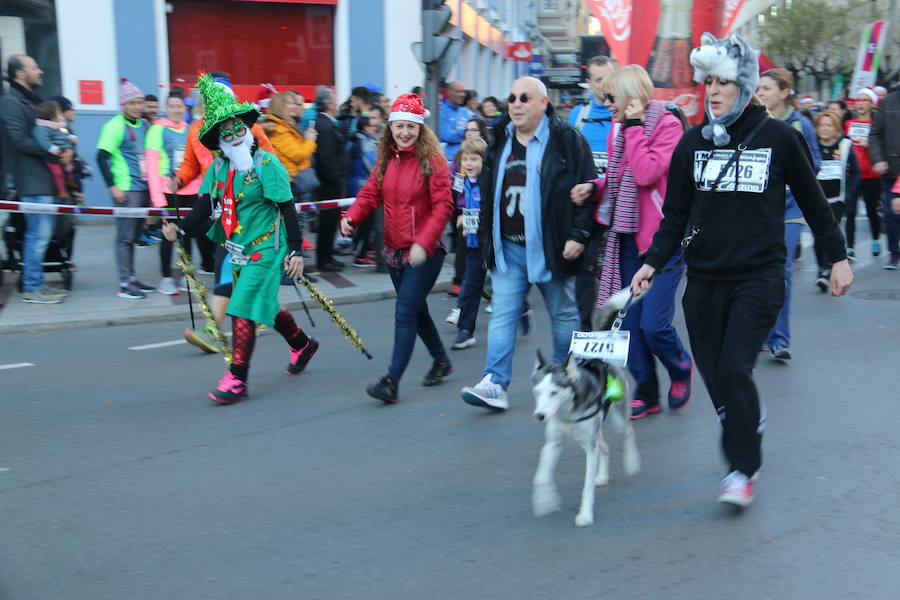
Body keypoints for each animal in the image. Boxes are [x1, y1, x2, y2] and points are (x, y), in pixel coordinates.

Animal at [532, 288, 644, 528]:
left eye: (554, 393)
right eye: (537, 392)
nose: (540, 416)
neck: (567, 413)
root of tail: (600, 357)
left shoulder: (589, 449)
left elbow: (586, 486)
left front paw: (585, 515)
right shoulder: (553, 443)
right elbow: (541, 477)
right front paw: (545, 501)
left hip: (617, 417)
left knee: (627, 431)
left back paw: (631, 462)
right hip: (595, 430)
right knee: (606, 446)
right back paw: (602, 476)